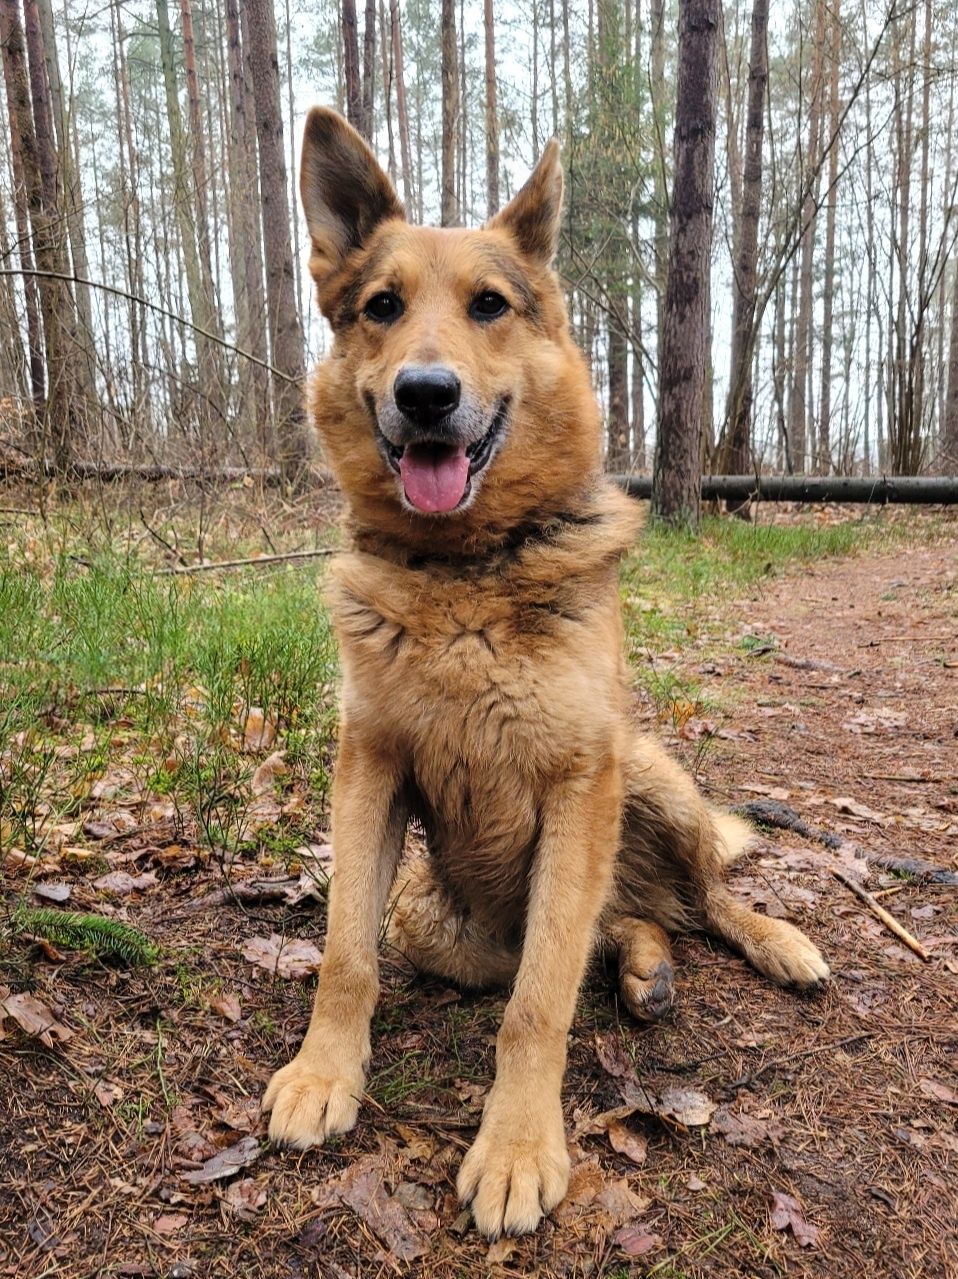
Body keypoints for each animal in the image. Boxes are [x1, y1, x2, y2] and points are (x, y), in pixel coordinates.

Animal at [263, 109, 828, 1238]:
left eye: (490, 305)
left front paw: (518, 1144)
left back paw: (769, 941)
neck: (462, 574)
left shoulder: (581, 783)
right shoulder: (368, 771)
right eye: (382, 308)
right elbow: (347, 954)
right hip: (436, 916)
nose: (424, 395)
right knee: (623, 922)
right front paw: (323, 1073)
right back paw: (647, 965)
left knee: (704, 896)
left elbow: (537, 1001)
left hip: (649, 779)